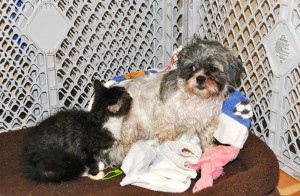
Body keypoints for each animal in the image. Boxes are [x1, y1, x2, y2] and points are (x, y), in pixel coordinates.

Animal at [104, 36, 243, 165]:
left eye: (213, 69)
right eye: (192, 67)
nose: (200, 78)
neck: (196, 98)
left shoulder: (208, 121)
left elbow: (206, 137)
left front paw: (209, 150)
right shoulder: (165, 115)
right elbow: (167, 133)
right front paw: (168, 146)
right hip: (130, 125)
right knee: (126, 142)